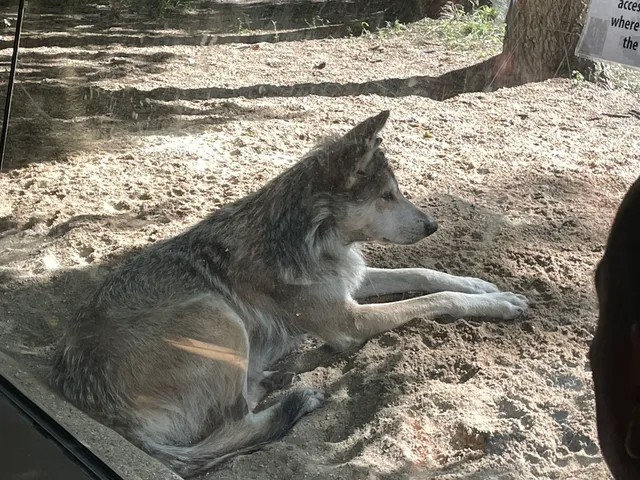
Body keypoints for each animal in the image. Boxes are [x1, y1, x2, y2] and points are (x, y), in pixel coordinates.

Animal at [50, 110, 528, 477]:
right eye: (387, 196)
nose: (433, 225)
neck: (313, 237)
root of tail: (92, 404)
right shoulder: (349, 322)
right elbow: (432, 300)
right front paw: (498, 303)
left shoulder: (353, 281)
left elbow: (425, 274)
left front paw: (482, 285)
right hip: (218, 316)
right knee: (234, 426)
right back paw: (296, 394)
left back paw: (273, 377)